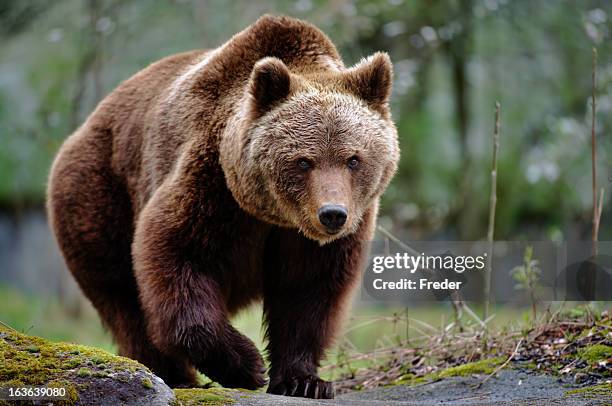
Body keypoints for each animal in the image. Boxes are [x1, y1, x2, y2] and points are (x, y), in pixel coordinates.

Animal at [49, 14, 402, 398]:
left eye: (353, 159)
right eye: (303, 161)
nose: (333, 214)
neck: (273, 215)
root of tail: (84, 126)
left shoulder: (320, 236)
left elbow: (309, 292)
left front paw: (304, 381)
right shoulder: (212, 185)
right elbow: (177, 255)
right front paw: (247, 365)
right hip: (99, 192)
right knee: (122, 293)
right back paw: (172, 373)